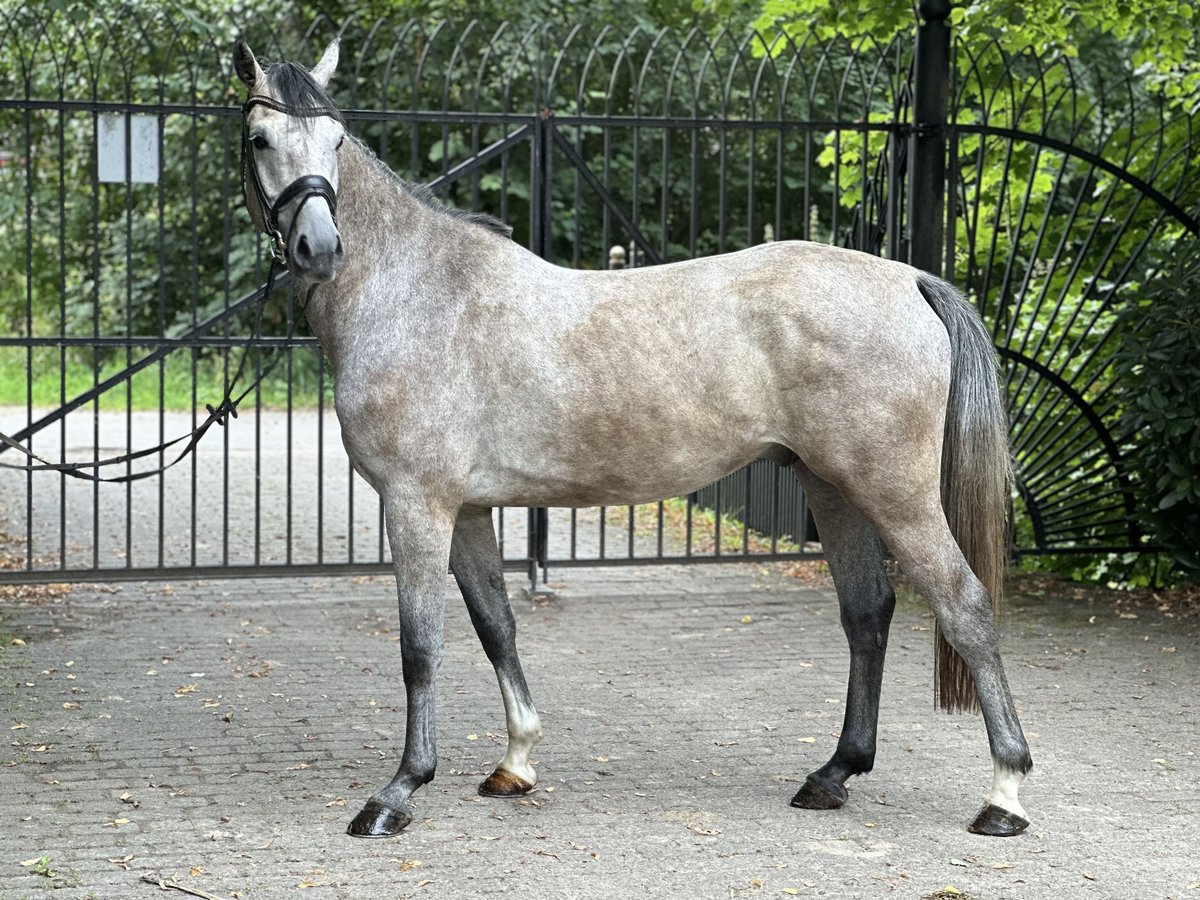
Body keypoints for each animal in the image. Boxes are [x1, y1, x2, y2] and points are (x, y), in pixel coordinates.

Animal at [234, 38, 1032, 844]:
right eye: (261, 139)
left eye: (337, 141)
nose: (319, 247)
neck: (416, 292)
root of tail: (908, 280)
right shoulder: (466, 510)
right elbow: (496, 625)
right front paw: (515, 762)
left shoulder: (417, 504)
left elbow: (419, 646)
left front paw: (397, 792)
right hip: (831, 486)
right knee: (867, 612)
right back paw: (834, 773)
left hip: (894, 492)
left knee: (964, 604)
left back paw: (1004, 794)